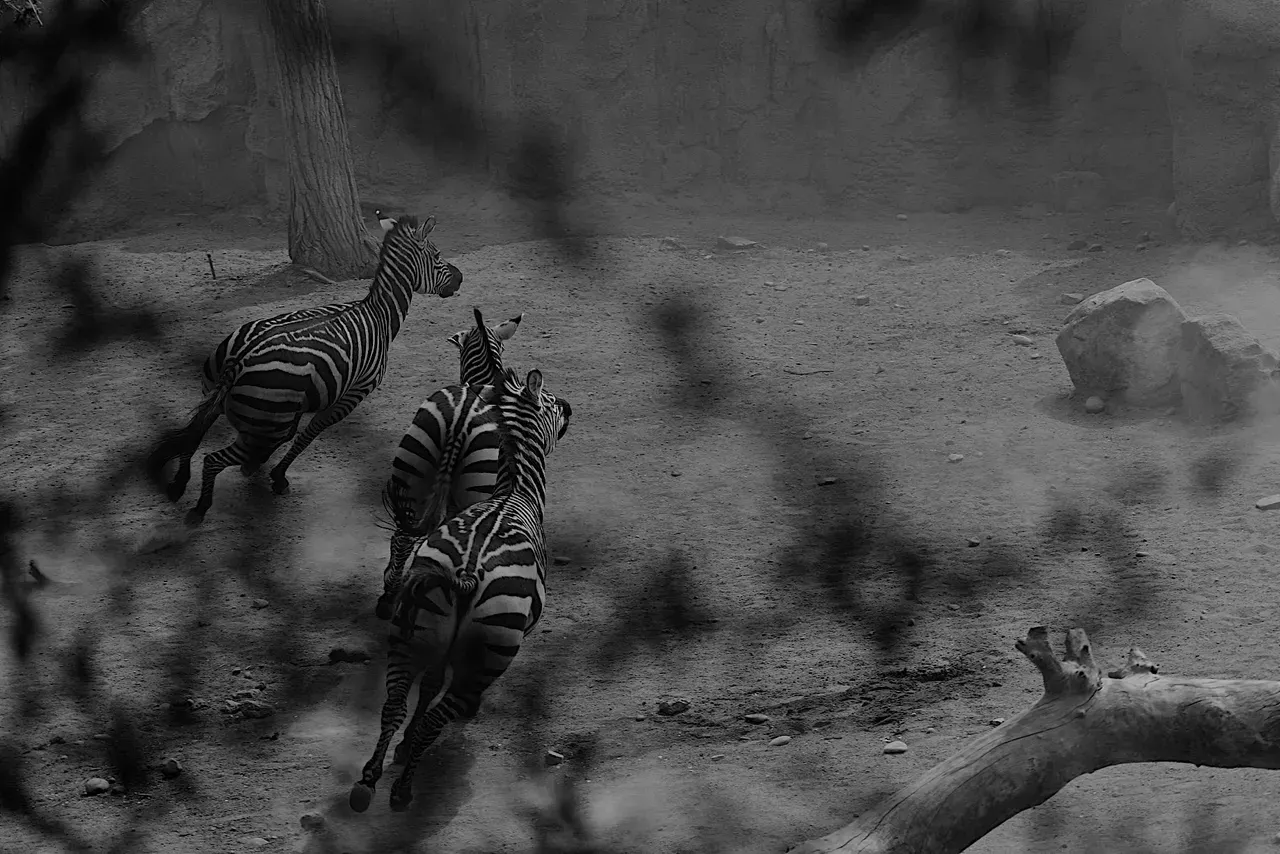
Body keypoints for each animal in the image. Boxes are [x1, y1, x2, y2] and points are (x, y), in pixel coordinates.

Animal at [147, 213, 463, 527]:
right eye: (437, 255)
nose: (460, 277)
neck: (379, 315)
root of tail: (241, 357)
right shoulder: (353, 394)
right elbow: (308, 434)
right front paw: (277, 476)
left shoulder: (298, 401)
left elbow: (293, 434)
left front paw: (257, 468)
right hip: (263, 421)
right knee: (212, 458)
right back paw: (200, 507)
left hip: (217, 395)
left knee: (193, 436)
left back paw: (179, 484)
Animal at [348, 368, 573, 814]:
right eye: (551, 402)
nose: (571, 407)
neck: (513, 492)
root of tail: (467, 575)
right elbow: (434, 699)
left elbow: (429, 686)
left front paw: (401, 748)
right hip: (488, 652)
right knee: (437, 720)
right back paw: (403, 790)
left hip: (409, 631)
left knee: (394, 704)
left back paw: (368, 780)